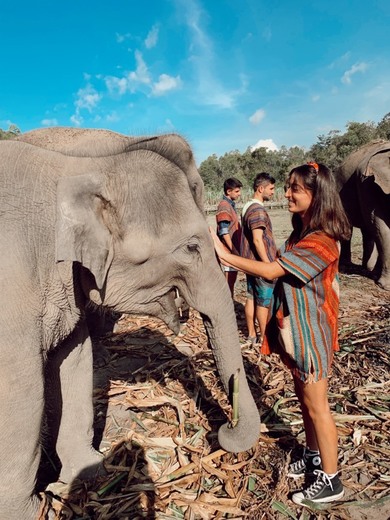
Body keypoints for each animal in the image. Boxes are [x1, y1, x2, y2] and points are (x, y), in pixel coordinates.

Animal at [0, 127, 262, 520]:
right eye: (191, 247)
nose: (223, 433)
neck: (78, 168)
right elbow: (20, 391)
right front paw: (36, 510)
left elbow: (75, 358)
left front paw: (90, 472)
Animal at [336, 140, 390, 290]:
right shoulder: (367, 183)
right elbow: (382, 228)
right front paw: (385, 286)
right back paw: (347, 265)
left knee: (368, 231)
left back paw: (369, 268)